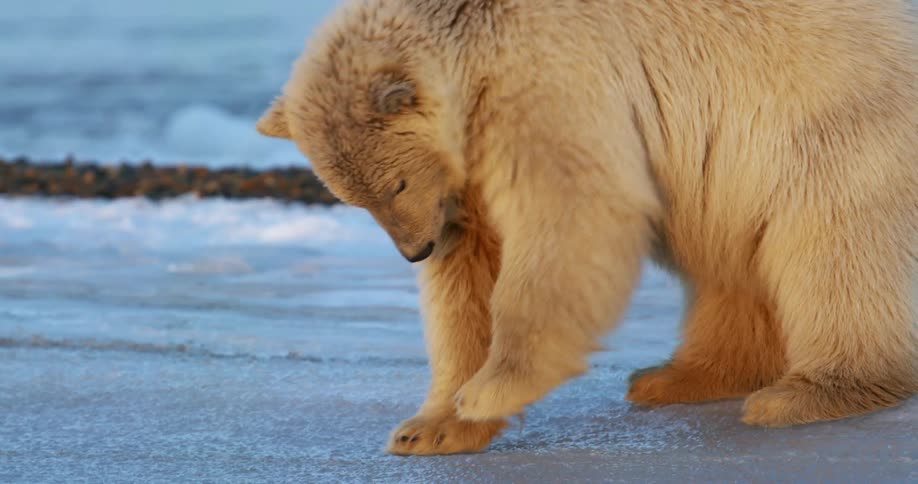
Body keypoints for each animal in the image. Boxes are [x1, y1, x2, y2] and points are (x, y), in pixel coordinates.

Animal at [256, 0, 918, 456]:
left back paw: (809, 392)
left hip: (831, 120)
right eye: (349, 197)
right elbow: (474, 265)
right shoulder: (467, 170)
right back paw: (678, 376)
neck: (475, 32)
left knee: (833, 245)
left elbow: (573, 216)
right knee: (729, 259)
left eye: (393, 185)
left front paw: (489, 391)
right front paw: (430, 428)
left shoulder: (546, 79)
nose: (419, 249)